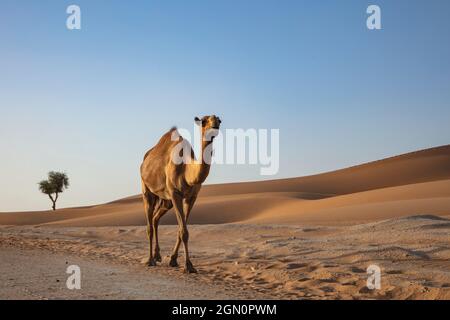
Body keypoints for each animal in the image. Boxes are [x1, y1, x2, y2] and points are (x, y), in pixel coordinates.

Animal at [139, 115, 220, 272]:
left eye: (219, 120)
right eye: (203, 121)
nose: (215, 125)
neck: (186, 169)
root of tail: (144, 160)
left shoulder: (191, 197)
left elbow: (181, 230)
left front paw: (174, 260)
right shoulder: (175, 193)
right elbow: (184, 231)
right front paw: (188, 265)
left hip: (166, 200)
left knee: (155, 219)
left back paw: (157, 256)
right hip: (147, 190)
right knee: (149, 225)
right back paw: (150, 259)